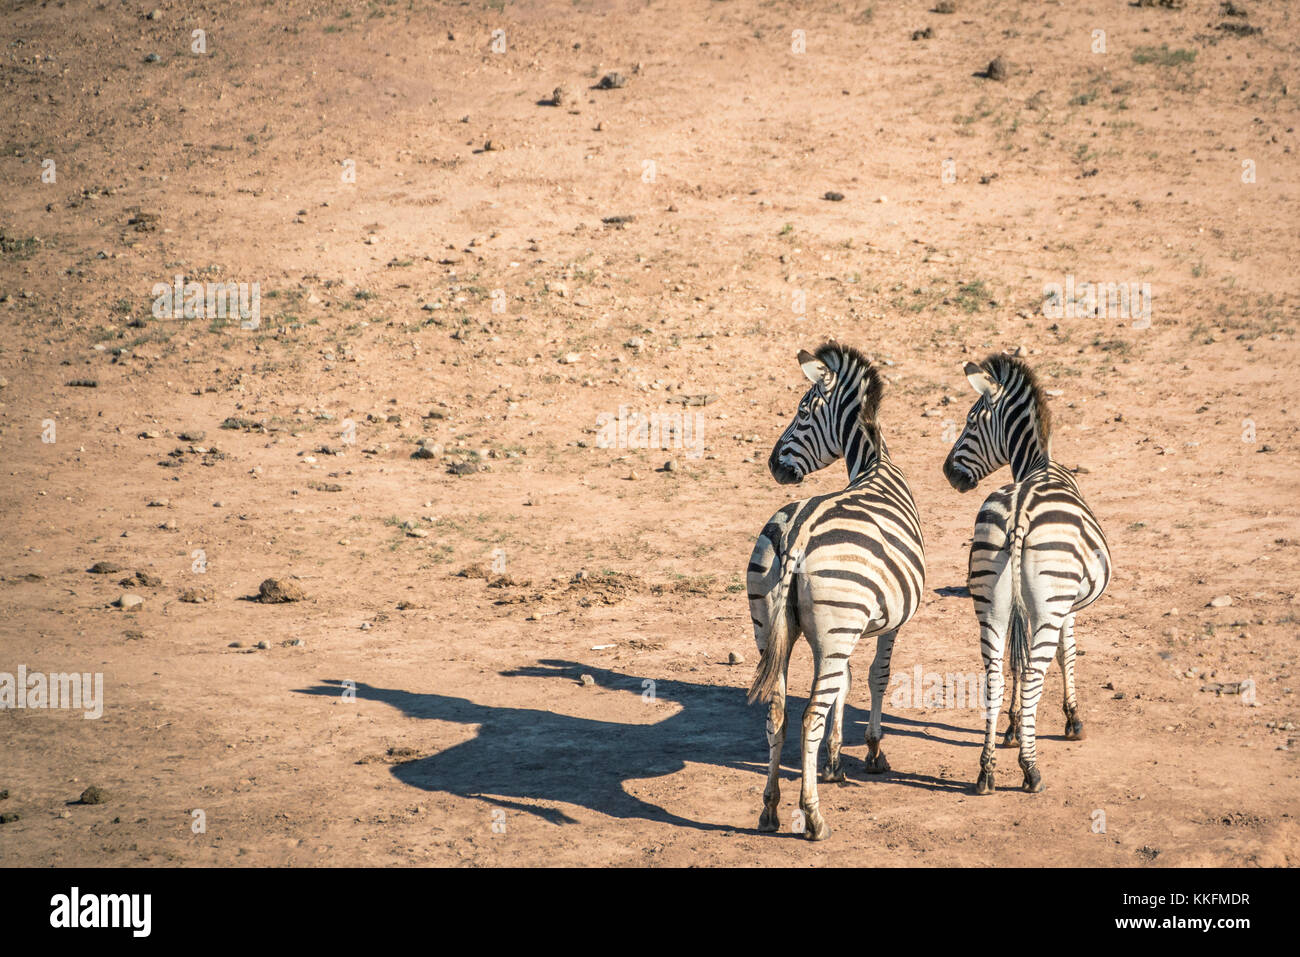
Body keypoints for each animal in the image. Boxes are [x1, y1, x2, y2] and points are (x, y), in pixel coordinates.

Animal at [743, 343, 925, 837]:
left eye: (803, 412)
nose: (772, 465)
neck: (875, 465)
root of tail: (798, 534)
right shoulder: (890, 622)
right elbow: (877, 677)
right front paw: (873, 752)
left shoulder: (844, 634)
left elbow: (843, 683)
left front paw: (835, 762)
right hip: (834, 623)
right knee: (808, 718)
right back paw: (813, 816)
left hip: (770, 628)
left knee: (777, 715)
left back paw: (770, 809)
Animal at [941, 356, 1112, 795]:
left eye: (971, 422)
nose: (949, 473)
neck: (1038, 466)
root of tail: (1019, 511)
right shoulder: (1068, 607)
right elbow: (1068, 654)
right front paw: (1072, 720)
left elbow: (1014, 663)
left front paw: (1013, 729)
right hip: (1050, 605)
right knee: (1036, 671)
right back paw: (1031, 770)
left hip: (989, 600)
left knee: (994, 675)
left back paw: (986, 771)